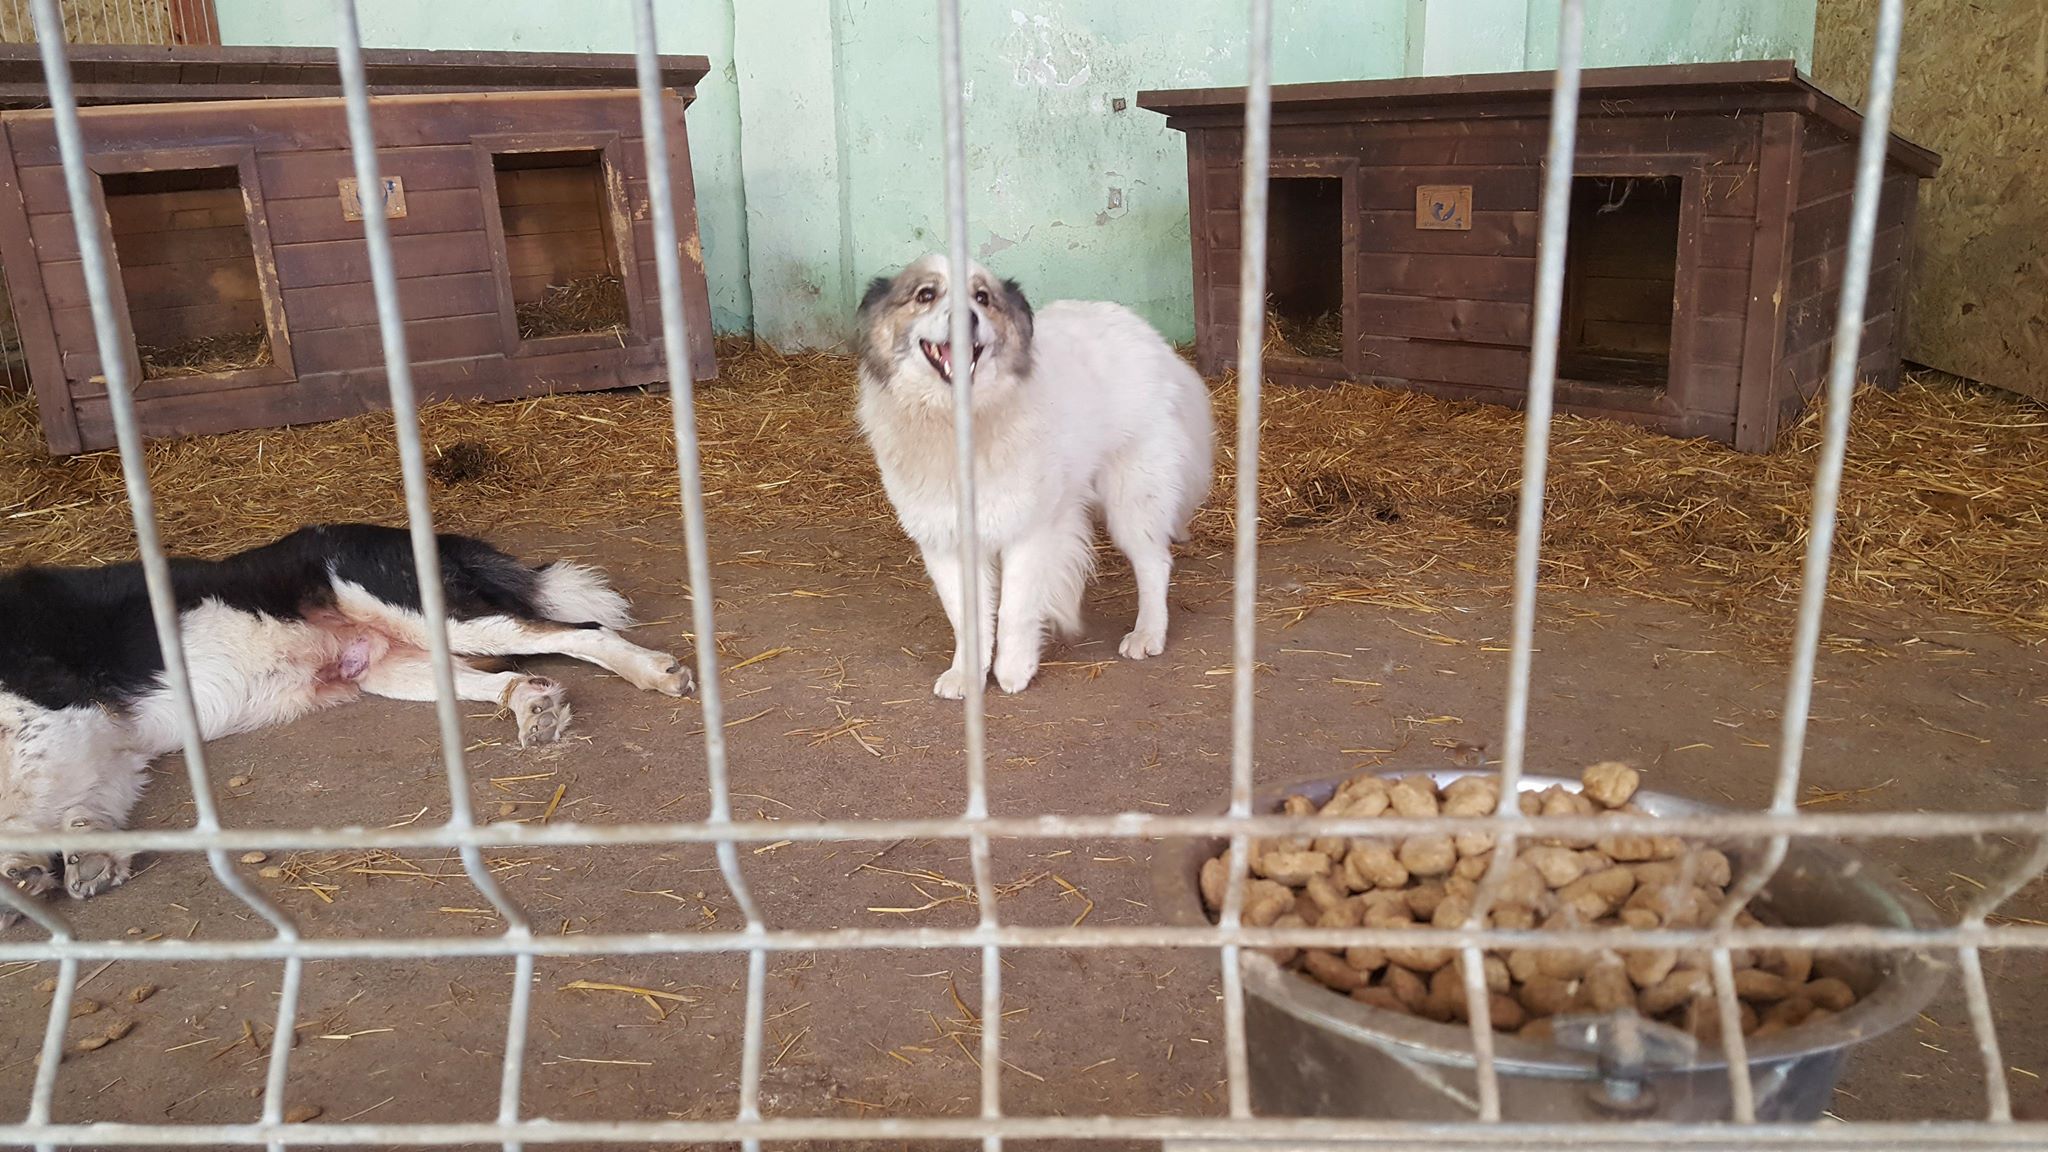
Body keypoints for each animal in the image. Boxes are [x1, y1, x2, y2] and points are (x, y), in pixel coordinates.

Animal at [0, 524, 690, 919]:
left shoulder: (52, 709)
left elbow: (19, 810)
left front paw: (30, 871)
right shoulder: (109, 749)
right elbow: (79, 809)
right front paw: (82, 860)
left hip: (436, 617)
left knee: (577, 629)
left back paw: (652, 671)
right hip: (394, 666)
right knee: (510, 673)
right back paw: (535, 706)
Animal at [854, 254, 1214, 698]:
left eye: (982, 297)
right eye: (925, 295)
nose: (966, 318)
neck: (961, 422)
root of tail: (1149, 336)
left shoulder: (1029, 533)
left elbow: (1015, 610)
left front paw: (1014, 670)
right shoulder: (945, 542)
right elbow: (965, 619)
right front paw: (967, 675)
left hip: (1133, 497)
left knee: (1154, 564)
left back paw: (1148, 633)